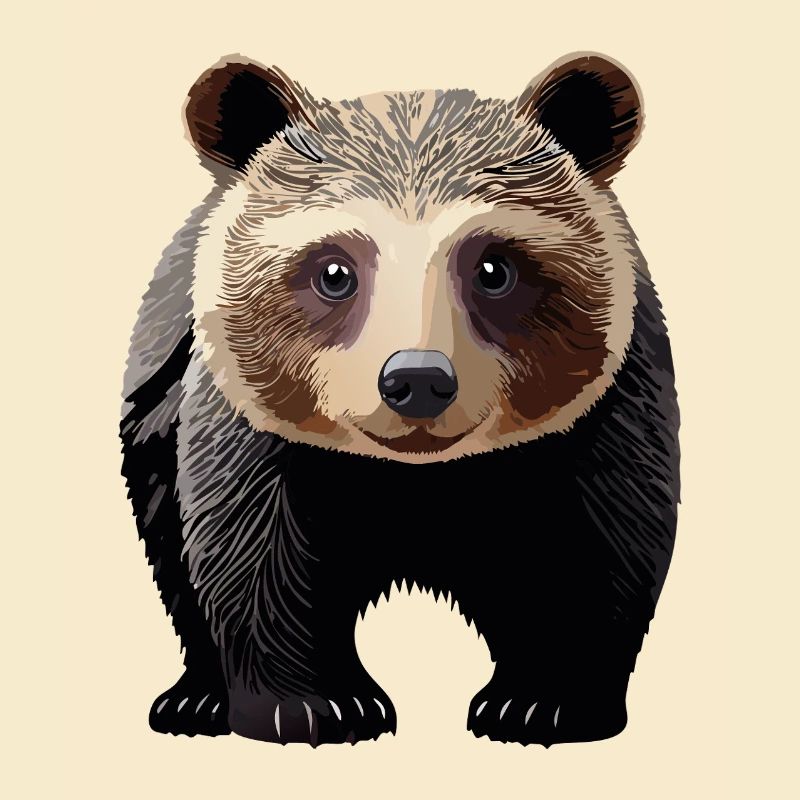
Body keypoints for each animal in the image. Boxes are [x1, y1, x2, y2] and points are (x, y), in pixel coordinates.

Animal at [120, 52, 680, 747]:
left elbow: (597, 544)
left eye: (494, 268)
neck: (415, 476)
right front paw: (315, 705)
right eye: (333, 271)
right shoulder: (247, 421)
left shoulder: (602, 411)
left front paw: (542, 701)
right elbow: (252, 549)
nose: (417, 380)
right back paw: (194, 699)